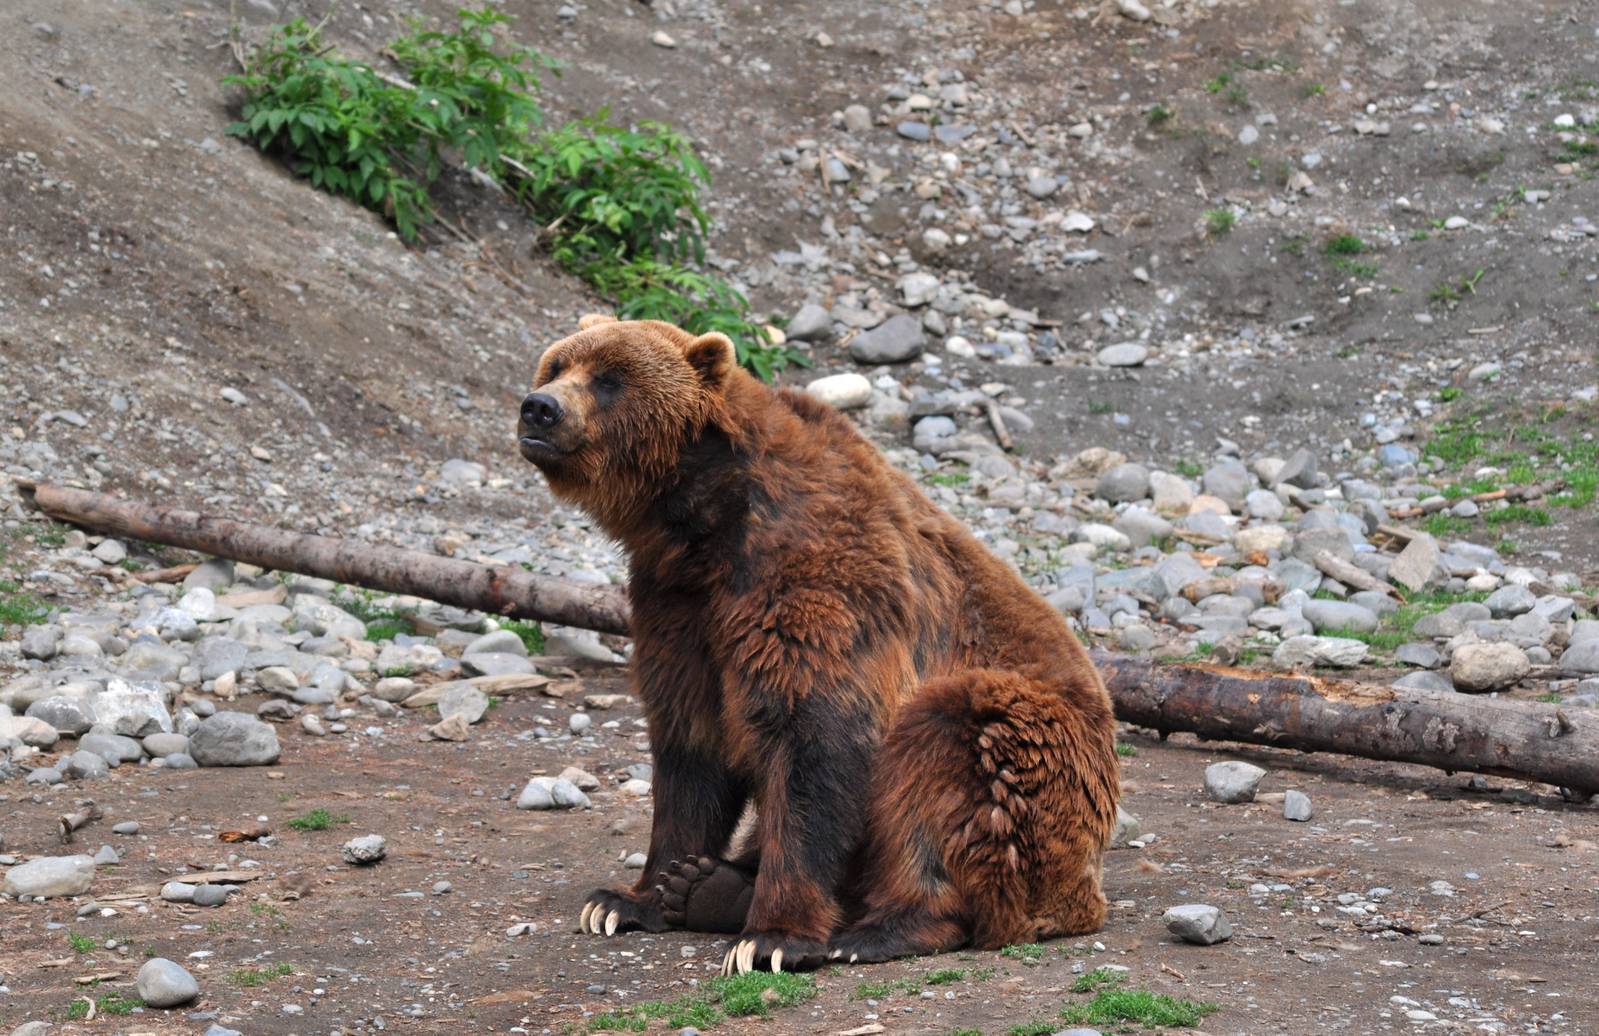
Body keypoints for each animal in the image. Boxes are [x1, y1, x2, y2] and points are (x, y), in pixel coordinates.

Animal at [517, 314, 1119, 974]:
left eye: (610, 378)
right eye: (556, 365)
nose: (539, 408)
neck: (701, 524)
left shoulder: (816, 579)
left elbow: (817, 738)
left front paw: (772, 938)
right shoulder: (677, 611)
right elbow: (689, 750)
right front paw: (630, 898)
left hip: (1044, 771)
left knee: (948, 746)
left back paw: (882, 927)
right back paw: (708, 886)